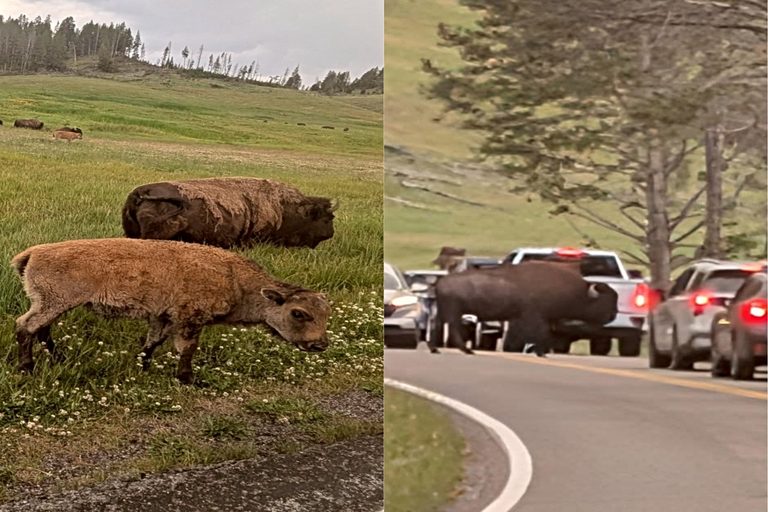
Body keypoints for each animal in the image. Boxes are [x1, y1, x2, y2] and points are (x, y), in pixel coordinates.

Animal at [432, 261, 618, 356]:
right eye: (606, 300)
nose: (613, 315)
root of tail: (441, 282)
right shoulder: (535, 317)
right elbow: (539, 334)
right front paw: (540, 352)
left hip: (444, 313)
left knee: (436, 327)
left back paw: (436, 349)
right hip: (454, 313)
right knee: (454, 330)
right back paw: (467, 351)